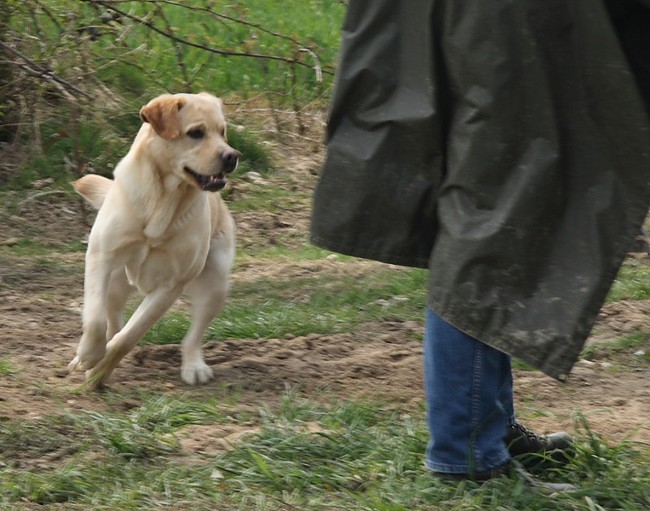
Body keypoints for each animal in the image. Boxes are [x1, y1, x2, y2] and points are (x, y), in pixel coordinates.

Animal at [67, 93, 238, 388]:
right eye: (196, 133)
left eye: (222, 132)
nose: (231, 156)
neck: (164, 200)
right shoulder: (101, 257)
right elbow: (96, 319)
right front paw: (88, 357)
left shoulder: (170, 286)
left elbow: (128, 337)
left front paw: (99, 373)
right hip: (116, 284)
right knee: (112, 322)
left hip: (215, 283)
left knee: (192, 337)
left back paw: (194, 366)